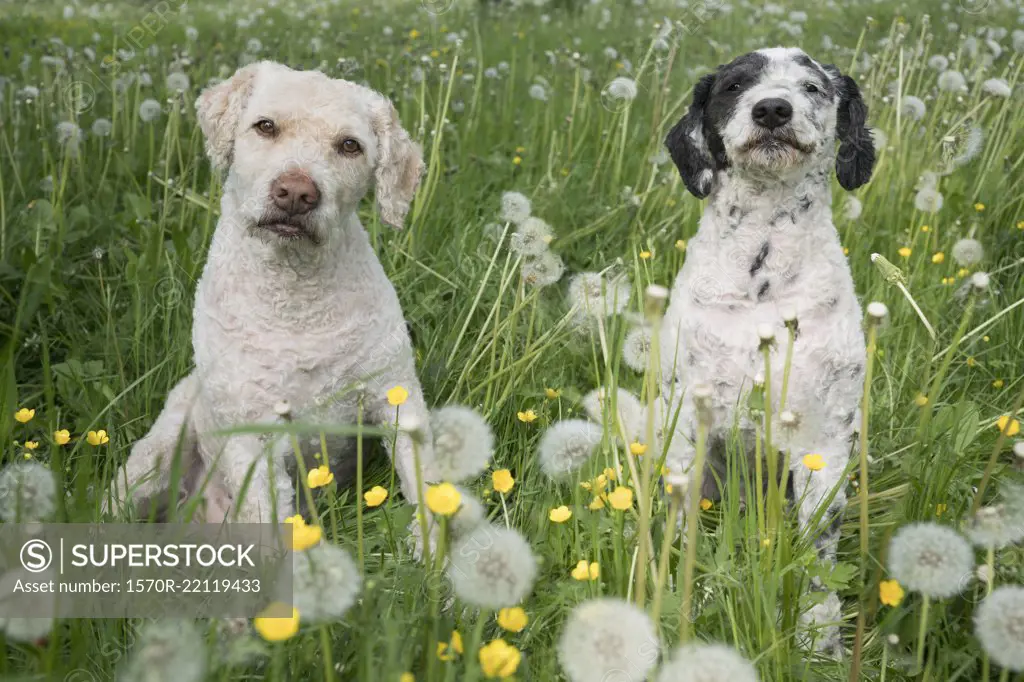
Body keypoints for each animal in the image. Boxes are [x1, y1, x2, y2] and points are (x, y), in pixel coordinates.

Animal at [109, 62, 436, 520]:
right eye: (265, 126)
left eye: (349, 145)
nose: (297, 193)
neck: (295, 302)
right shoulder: (252, 436)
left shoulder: (394, 395)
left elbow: (429, 490)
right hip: (154, 459)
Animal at [659, 47, 876, 655]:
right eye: (735, 85)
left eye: (812, 86)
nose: (773, 108)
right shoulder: (685, 433)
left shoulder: (823, 447)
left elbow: (819, 556)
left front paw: (817, 636)